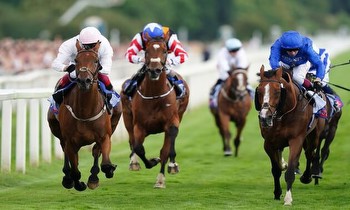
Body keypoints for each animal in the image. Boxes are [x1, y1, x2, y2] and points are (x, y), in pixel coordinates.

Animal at [47, 39, 121, 192]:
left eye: (96, 60)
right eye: (76, 60)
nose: (84, 80)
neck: (85, 111)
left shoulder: (105, 136)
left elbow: (104, 162)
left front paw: (103, 173)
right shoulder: (70, 141)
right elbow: (75, 169)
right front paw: (78, 183)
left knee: (95, 151)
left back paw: (93, 177)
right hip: (56, 129)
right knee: (64, 149)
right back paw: (67, 177)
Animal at [121, 38, 190, 189]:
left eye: (164, 51)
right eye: (146, 51)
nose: (155, 70)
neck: (154, 95)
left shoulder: (171, 123)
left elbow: (165, 150)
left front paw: (160, 179)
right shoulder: (140, 126)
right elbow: (138, 148)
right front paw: (152, 161)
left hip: (180, 115)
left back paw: (172, 164)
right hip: (127, 117)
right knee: (131, 140)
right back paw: (134, 162)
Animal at [254, 65, 326, 205]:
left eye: (277, 91)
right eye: (259, 91)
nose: (265, 117)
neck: (283, 114)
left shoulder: (296, 139)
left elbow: (290, 170)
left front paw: (288, 199)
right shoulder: (269, 143)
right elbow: (276, 170)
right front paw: (277, 193)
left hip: (314, 135)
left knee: (310, 153)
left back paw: (307, 176)